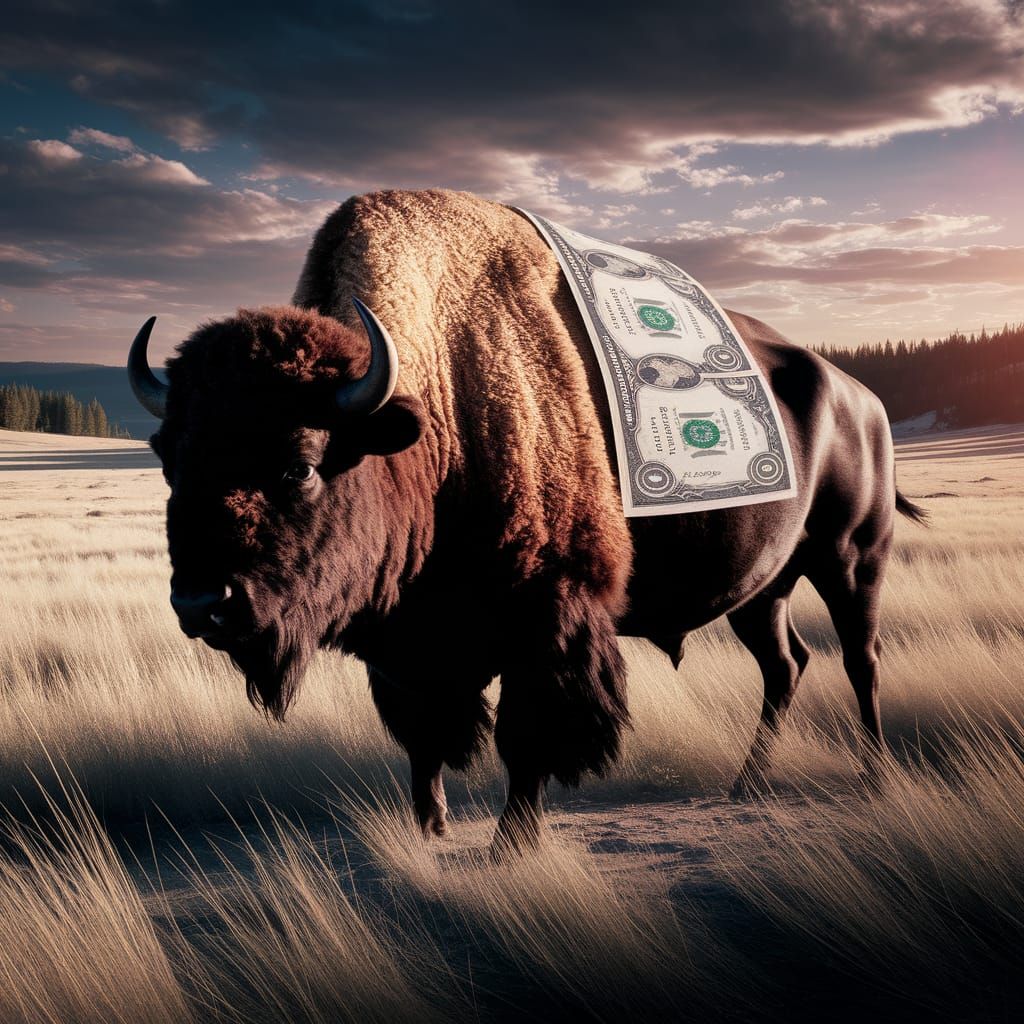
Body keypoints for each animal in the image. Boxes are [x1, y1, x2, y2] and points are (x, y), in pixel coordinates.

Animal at [128, 189, 923, 850]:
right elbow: (424, 733)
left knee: (860, 658)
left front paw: (512, 845)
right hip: (762, 590)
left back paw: (875, 776)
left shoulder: (548, 617)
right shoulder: (408, 639)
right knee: (785, 666)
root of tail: (863, 399)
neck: (432, 413)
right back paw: (745, 786)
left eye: (298, 463)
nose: (201, 603)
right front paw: (430, 827)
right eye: (168, 458)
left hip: (853, 559)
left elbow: (528, 734)